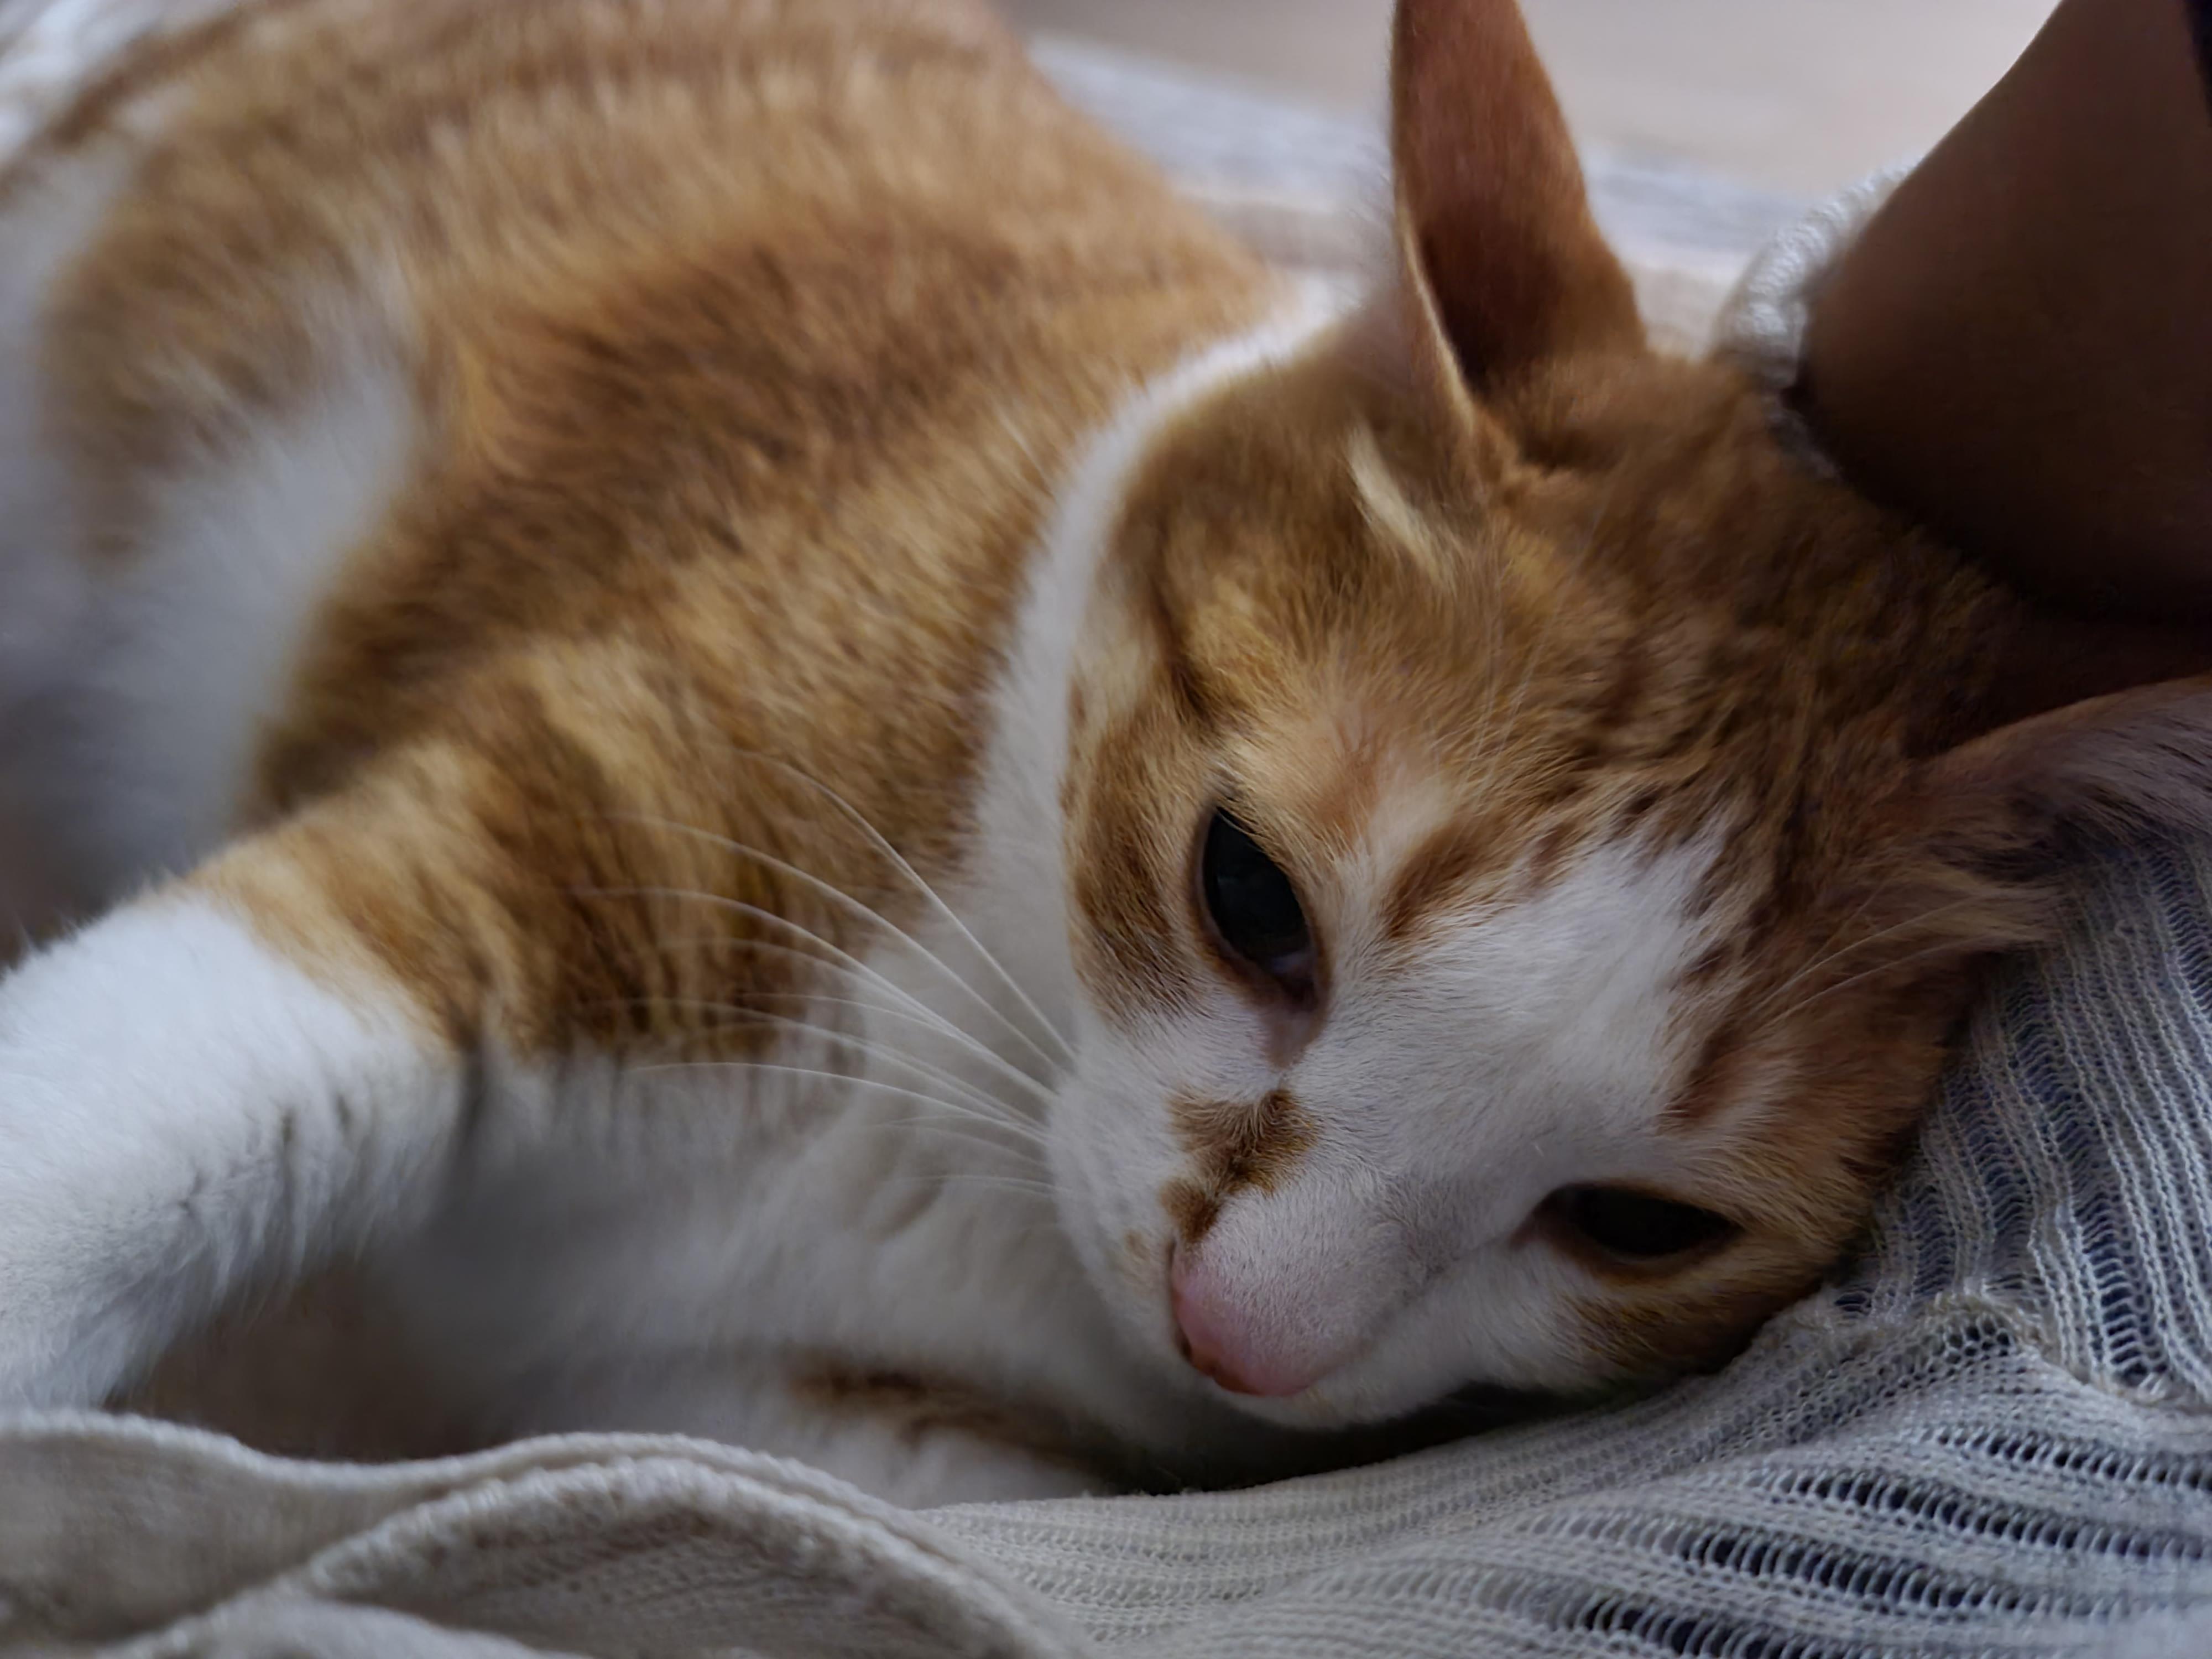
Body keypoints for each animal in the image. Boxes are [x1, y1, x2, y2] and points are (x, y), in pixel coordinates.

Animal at [4, 0, 2212, 1504]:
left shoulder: (771, 1405)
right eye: (1248, 898)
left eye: (1638, 1223)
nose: (1237, 1327)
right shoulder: (571, 829)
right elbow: (125, 1127)